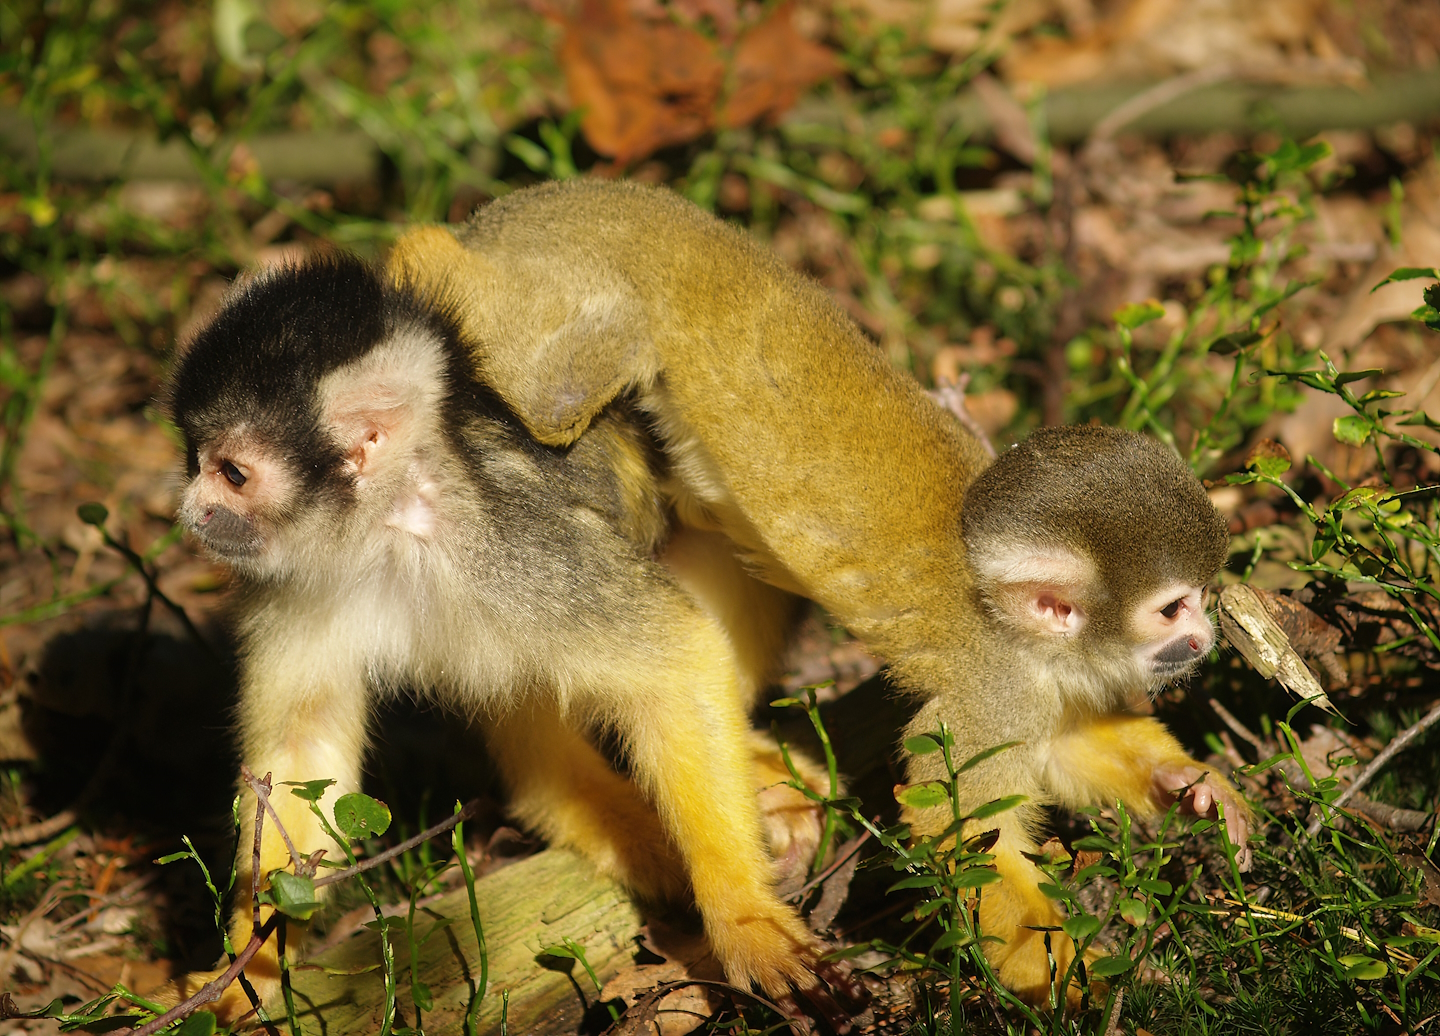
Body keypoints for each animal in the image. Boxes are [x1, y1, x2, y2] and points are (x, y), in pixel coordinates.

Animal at [162, 253, 860, 1024]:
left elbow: (678, 658)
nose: (192, 510)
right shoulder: (290, 584)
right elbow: (298, 749)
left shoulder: (522, 547)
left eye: (232, 473)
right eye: (196, 460)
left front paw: (744, 918)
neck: (390, 528)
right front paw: (247, 972)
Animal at [386, 178, 1252, 1003]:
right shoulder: (993, 688)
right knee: (556, 386)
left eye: (1204, 595)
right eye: (1172, 608)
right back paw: (413, 260)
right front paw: (1087, 984)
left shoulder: (1038, 683)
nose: (1206, 638)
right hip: (567, 298)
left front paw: (1190, 785)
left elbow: (1065, 746)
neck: (1007, 616)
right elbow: (962, 833)